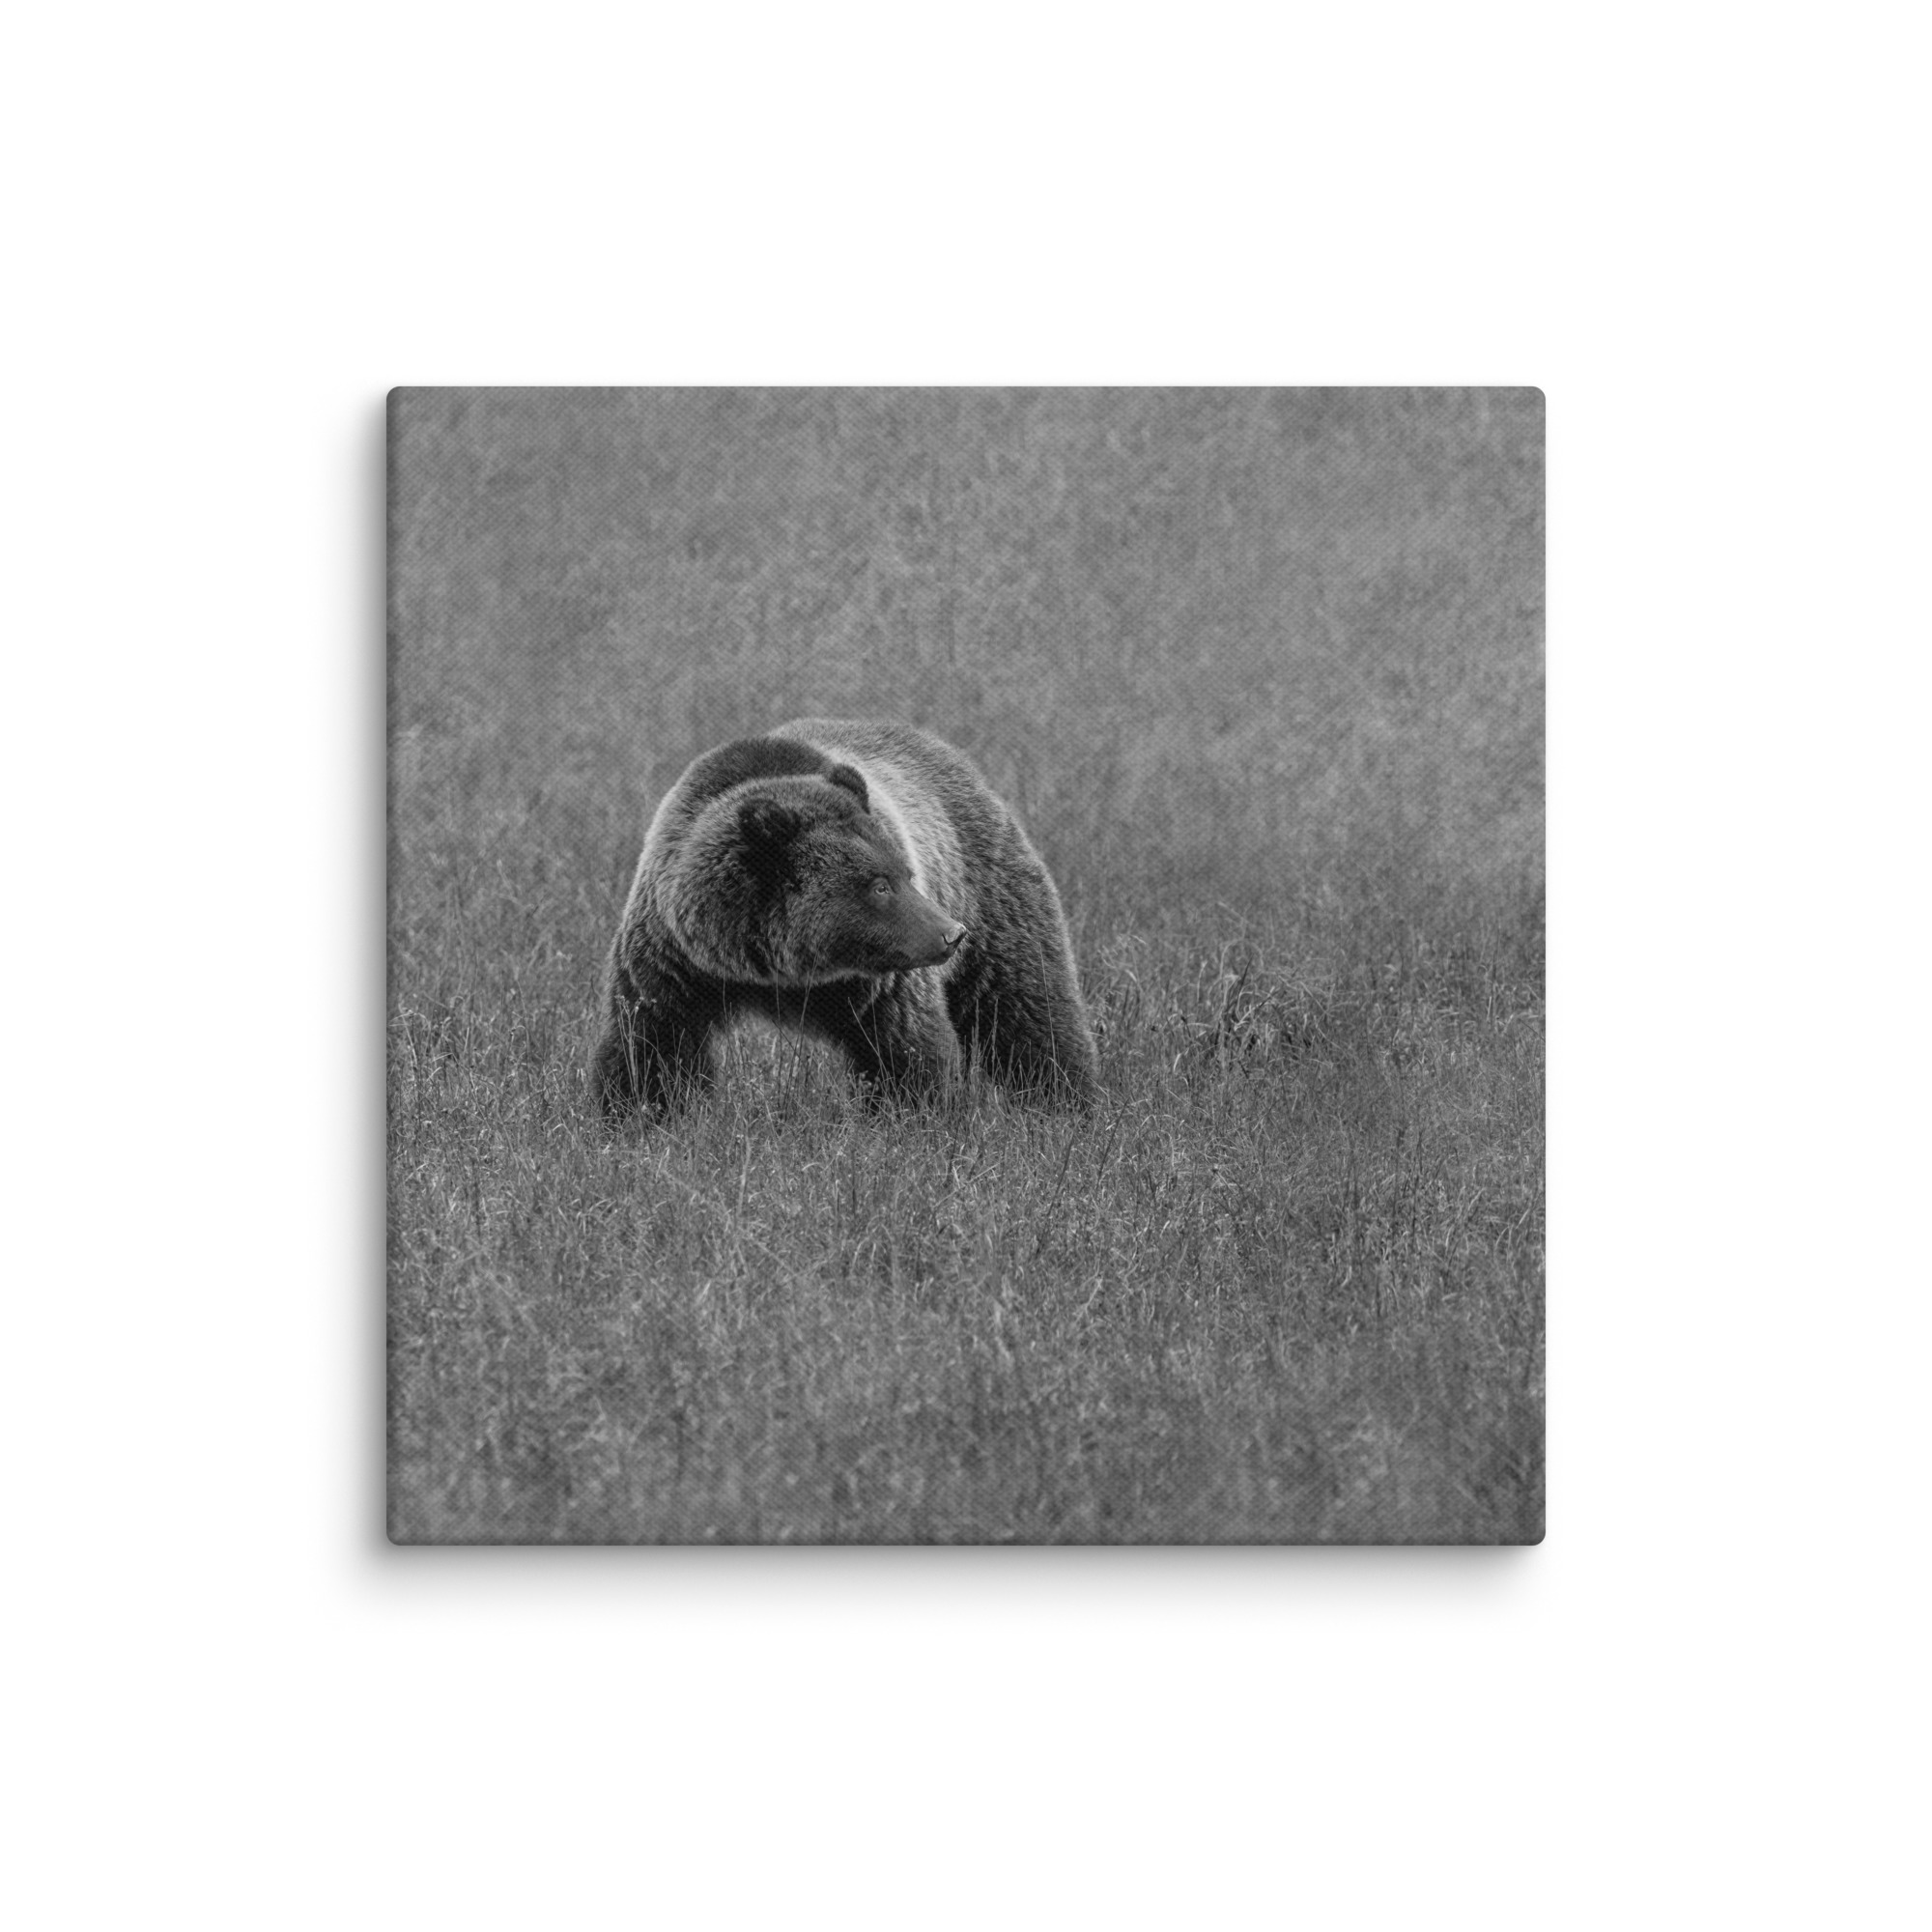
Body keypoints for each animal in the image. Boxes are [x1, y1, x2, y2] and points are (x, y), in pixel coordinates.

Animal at [590, 719, 1098, 1118]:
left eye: (906, 873)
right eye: (879, 885)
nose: (951, 934)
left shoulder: (881, 983)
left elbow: (905, 1050)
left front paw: (915, 1117)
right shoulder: (675, 961)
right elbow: (652, 1046)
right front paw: (637, 1116)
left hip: (989, 891)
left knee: (1026, 1006)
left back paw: (1066, 1104)